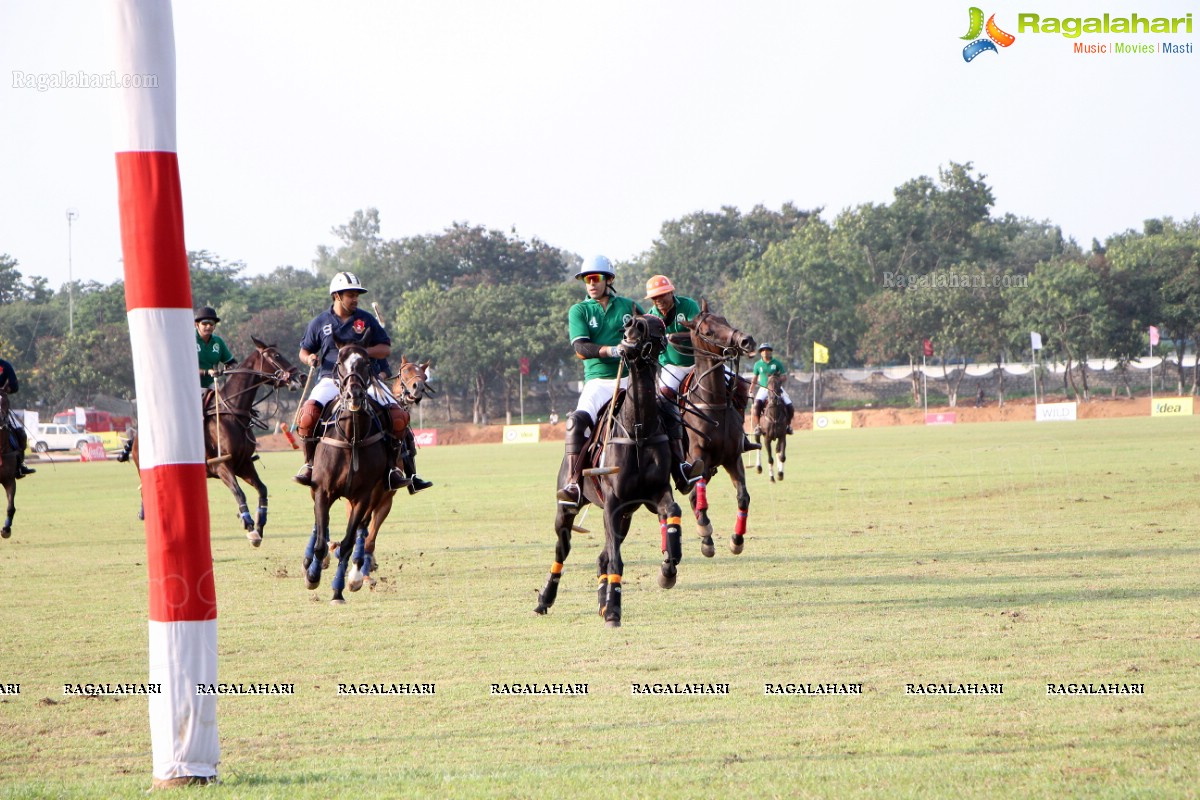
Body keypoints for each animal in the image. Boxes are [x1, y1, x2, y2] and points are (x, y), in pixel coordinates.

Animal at [129, 338, 300, 544]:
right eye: (276, 356)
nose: (299, 377)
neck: (233, 412)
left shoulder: (244, 464)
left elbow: (262, 489)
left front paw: (260, 524)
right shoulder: (221, 465)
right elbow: (239, 492)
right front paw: (249, 526)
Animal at [302, 340, 396, 604]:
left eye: (366, 362)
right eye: (339, 363)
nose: (354, 395)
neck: (352, 436)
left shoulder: (364, 496)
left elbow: (349, 541)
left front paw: (339, 590)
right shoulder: (323, 490)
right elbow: (321, 540)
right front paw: (313, 575)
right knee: (318, 526)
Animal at [537, 309, 686, 628]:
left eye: (657, 325)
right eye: (629, 325)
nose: (632, 331)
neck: (638, 430)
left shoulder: (655, 493)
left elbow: (673, 512)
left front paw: (668, 567)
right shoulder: (613, 502)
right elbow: (616, 559)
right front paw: (615, 611)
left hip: (625, 516)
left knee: (603, 556)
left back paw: (603, 601)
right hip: (569, 508)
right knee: (563, 549)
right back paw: (545, 599)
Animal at [676, 299, 758, 556]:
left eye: (725, 320)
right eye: (707, 331)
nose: (746, 341)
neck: (713, 402)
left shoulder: (733, 457)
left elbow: (743, 497)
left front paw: (736, 540)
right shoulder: (697, 457)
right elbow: (700, 499)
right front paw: (706, 539)